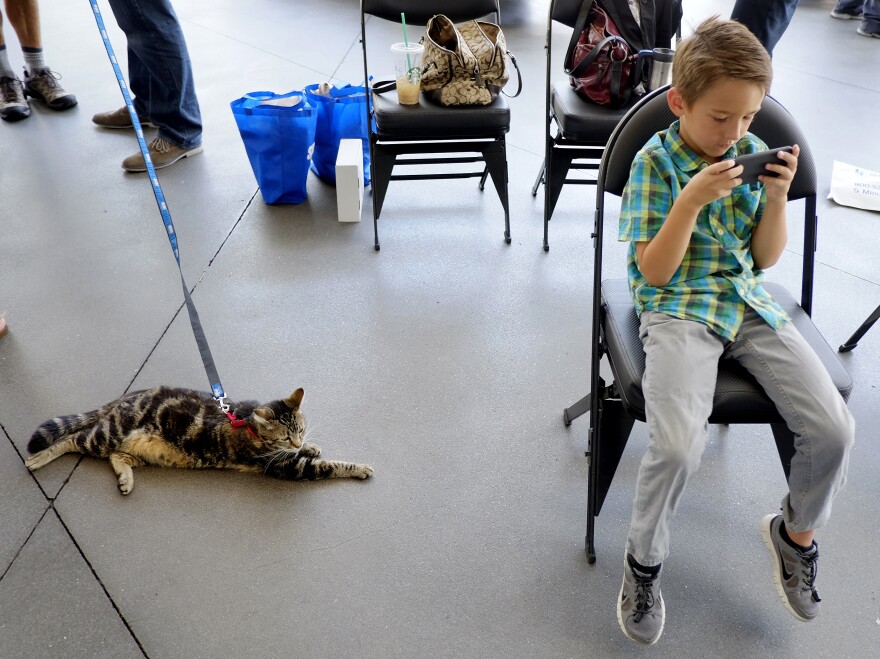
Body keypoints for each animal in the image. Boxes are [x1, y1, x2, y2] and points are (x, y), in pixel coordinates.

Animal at [24, 386, 372, 496]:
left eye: (300, 428)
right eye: (287, 434)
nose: (298, 442)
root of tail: (127, 395)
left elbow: (312, 453)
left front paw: (311, 446)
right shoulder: (289, 468)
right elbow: (329, 466)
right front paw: (359, 468)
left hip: (137, 450)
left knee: (117, 458)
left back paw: (126, 479)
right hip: (106, 434)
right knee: (72, 438)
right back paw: (38, 459)